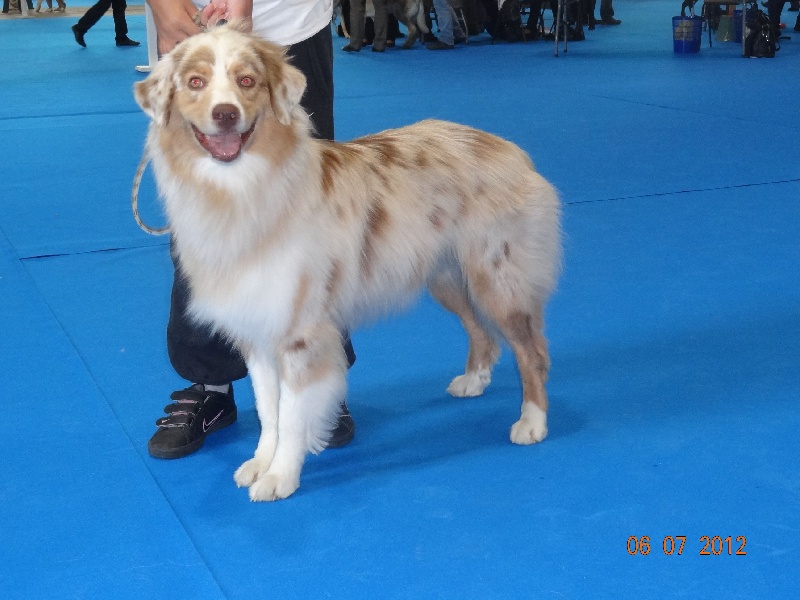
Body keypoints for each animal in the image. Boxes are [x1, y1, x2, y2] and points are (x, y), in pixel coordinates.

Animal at [134, 23, 564, 502]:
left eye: (246, 81)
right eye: (196, 82)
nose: (226, 114)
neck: (239, 191)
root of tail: (507, 148)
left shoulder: (300, 334)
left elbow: (292, 413)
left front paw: (281, 476)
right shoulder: (257, 330)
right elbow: (268, 409)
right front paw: (260, 462)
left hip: (498, 279)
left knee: (531, 351)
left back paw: (532, 421)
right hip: (447, 278)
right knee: (481, 333)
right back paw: (474, 380)